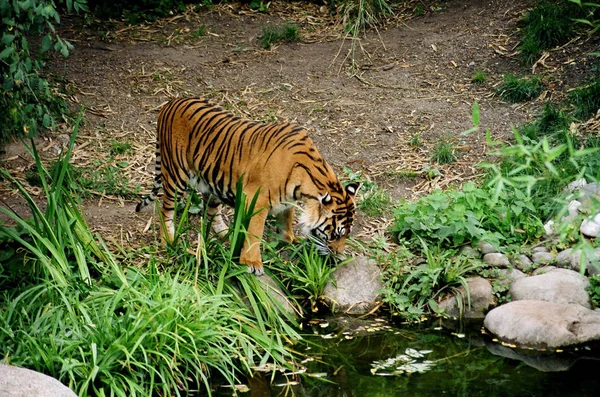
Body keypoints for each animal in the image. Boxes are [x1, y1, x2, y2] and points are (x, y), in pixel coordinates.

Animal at [137, 97, 358, 274]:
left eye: (347, 234)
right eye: (336, 234)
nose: (339, 255)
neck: (306, 184)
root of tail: (170, 103)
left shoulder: (286, 202)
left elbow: (285, 222)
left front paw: (291, 241)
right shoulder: (257, 199)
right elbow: (255, 233)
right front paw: (252, 263)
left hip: (212, 179)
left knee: (211, 210)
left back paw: (226, 234)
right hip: (176, 175)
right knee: (166, 209)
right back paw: (168, 239)